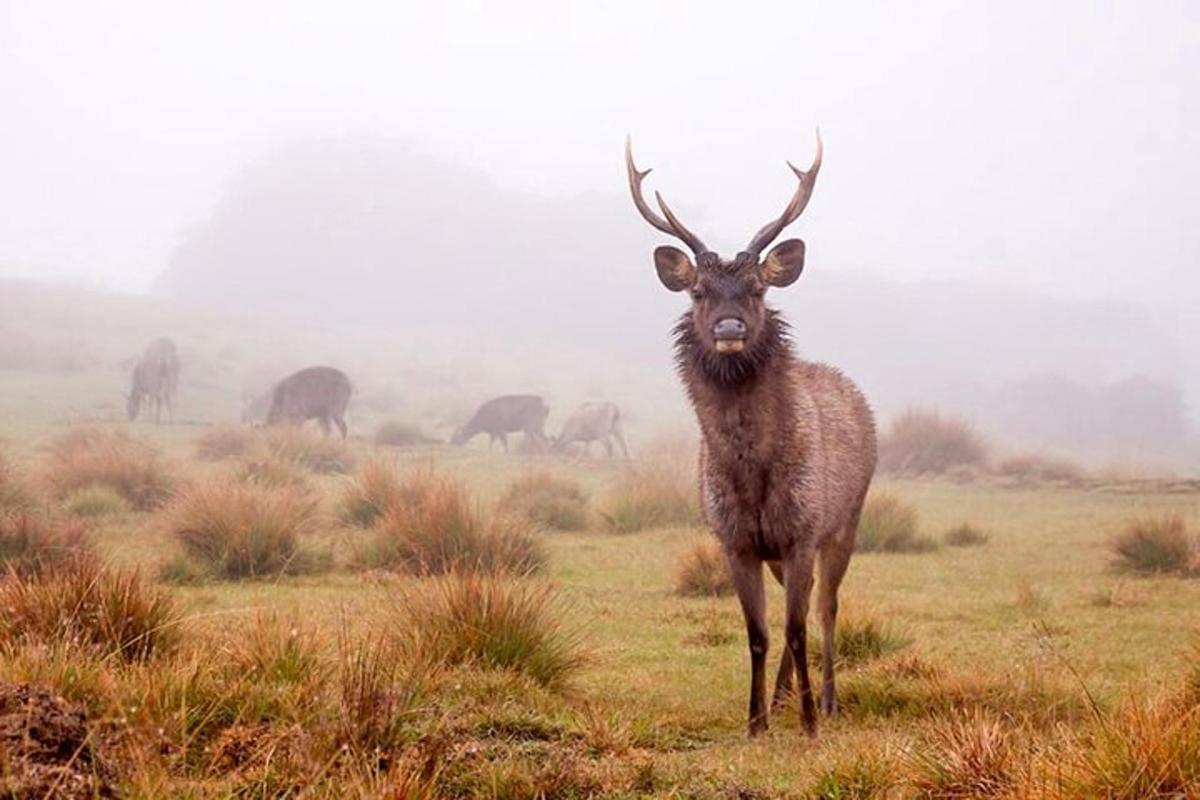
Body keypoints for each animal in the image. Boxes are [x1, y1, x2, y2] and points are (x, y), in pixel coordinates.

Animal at [624, 133, 878, 738]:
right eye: (696, 291)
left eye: (759, 289)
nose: (729, 328)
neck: (751, 477)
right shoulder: (734, 539)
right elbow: (759, 634)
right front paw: (756, 721)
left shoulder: (803, 530)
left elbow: (797, 628)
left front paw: (808, 724)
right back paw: (783, 697)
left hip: (847, 521)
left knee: (826, 608)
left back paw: (826, 700)